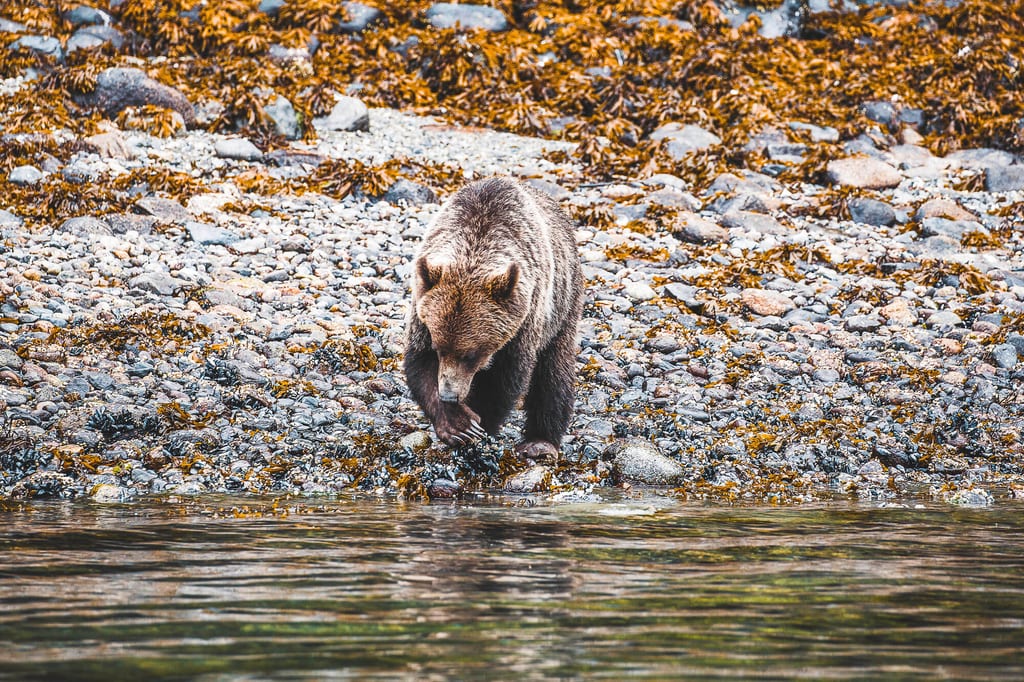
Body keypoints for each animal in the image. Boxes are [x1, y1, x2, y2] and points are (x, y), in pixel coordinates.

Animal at [403, 176, 584, 460]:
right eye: (439, 348)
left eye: (471, 354)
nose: (449, 396)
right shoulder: (422, 308)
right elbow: (419, 363)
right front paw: (457, 424)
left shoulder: (524, 319)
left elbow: (504, 378)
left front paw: (477, 423)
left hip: (563, 304)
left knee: (554, 372)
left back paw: (540, 442)